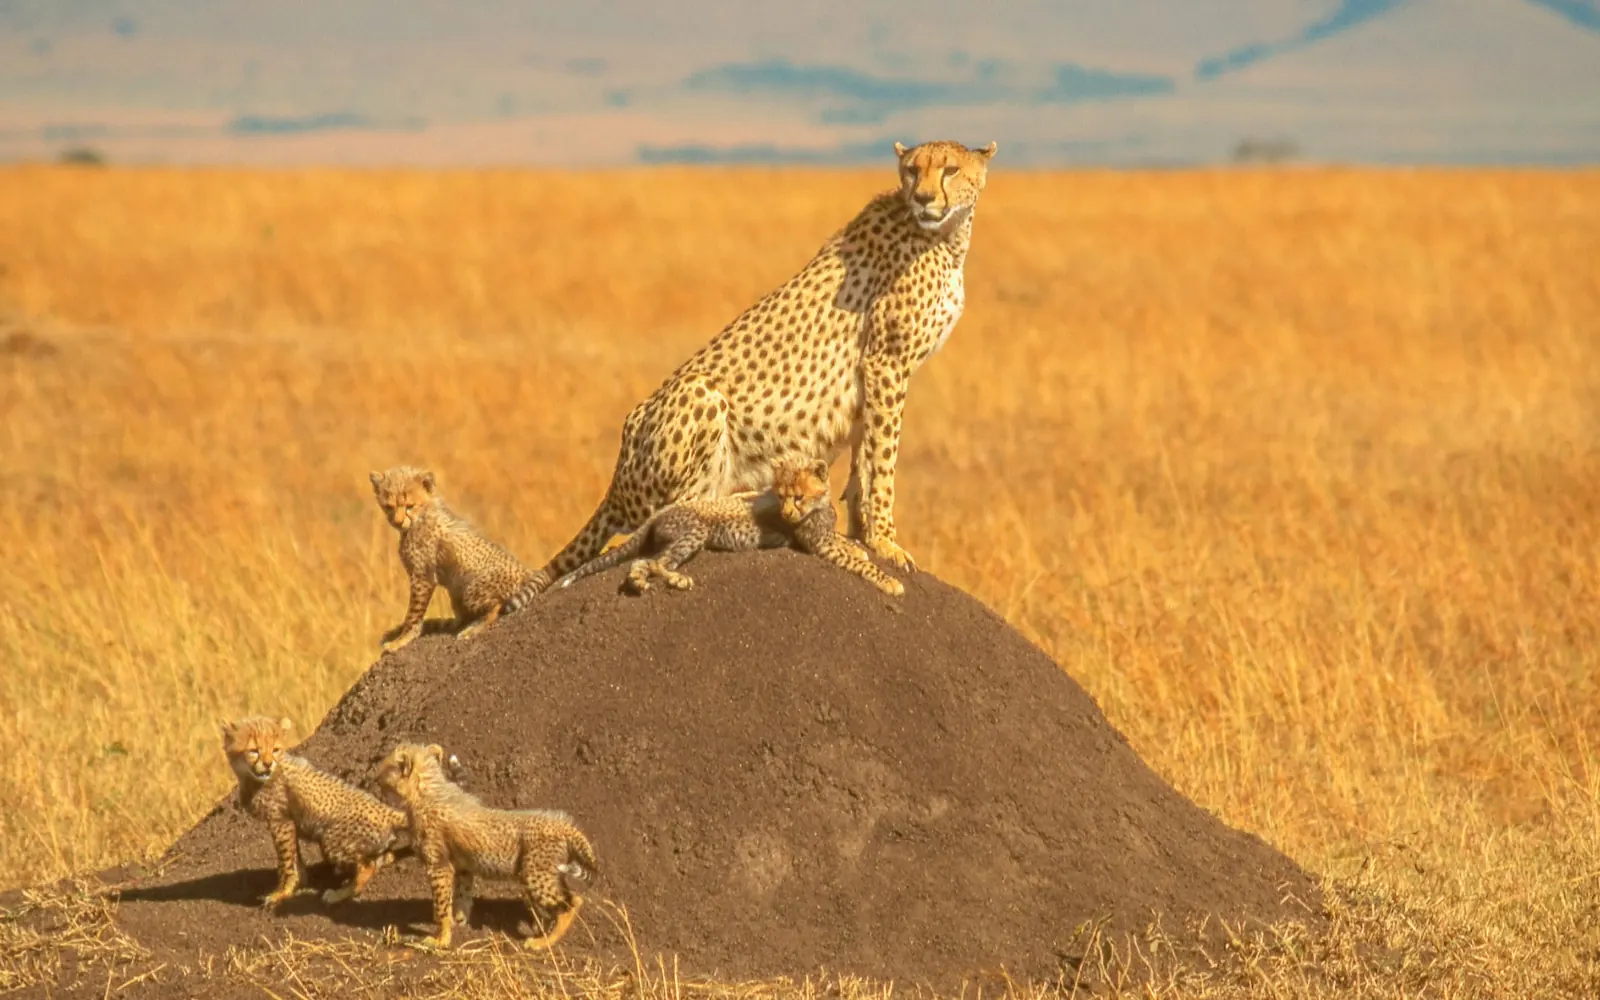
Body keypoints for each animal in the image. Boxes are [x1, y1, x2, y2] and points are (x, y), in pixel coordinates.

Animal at [219, 715, 408, 908]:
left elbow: (286, 860)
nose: (267, 764)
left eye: (275, 750)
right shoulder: (288, 823)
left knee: (367, 867)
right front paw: (297, 883)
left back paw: (339, 894)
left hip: (330, 840)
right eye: (254, 750)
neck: (251, 778)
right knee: (384, 858)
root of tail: (386, 810)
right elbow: (295, 858)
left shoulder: (280, 822)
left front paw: (281, 893)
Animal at [370, 465, 535, 653]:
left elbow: (413, 614)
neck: (421, 515)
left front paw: (401, 640)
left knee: (498, 606)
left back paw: (472, 629)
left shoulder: (422, 577)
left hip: (471, 590)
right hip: (456, 592)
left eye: (409, 506)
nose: (397, 522)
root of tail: (529, 572)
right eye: (389, 506)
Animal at [375, 741, 598, 951]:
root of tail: (563, 823)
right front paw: (459, 922)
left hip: (535, 874)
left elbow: (441, 906)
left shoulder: (439, 867)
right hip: (550, 873)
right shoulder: (463, 867)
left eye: (386, 765)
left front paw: (440, 939)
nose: (375, 777)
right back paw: (540, 929)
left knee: (571, 903)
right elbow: (462, 896)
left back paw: (542, 942)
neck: (427, 790)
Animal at [550, 456, 903, 596]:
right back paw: (677, 579)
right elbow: (858, 563)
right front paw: (889, 581)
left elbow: (848, 544)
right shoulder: (818, 545)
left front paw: (861, 551)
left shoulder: (826, 535)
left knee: (641, 562)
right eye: (780, 496)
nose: (786, 512)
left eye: (798, 497)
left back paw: (639, 583)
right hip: (695, 531)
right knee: (659, 562)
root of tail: (662, 511)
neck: (816, 507)